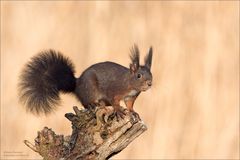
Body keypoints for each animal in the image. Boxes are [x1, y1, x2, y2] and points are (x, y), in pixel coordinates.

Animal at [18, 45, 154, 119]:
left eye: (151, 74)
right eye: (138, 75)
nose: (149, 83)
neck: (129, 83)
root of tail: (77, 85)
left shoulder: (130, 97)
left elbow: (130, 105)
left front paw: (133, 112)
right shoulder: (114, 90)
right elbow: (114, 101)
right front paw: (119, 110)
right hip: (90, 89)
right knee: (85, 103)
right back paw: (94, 104)